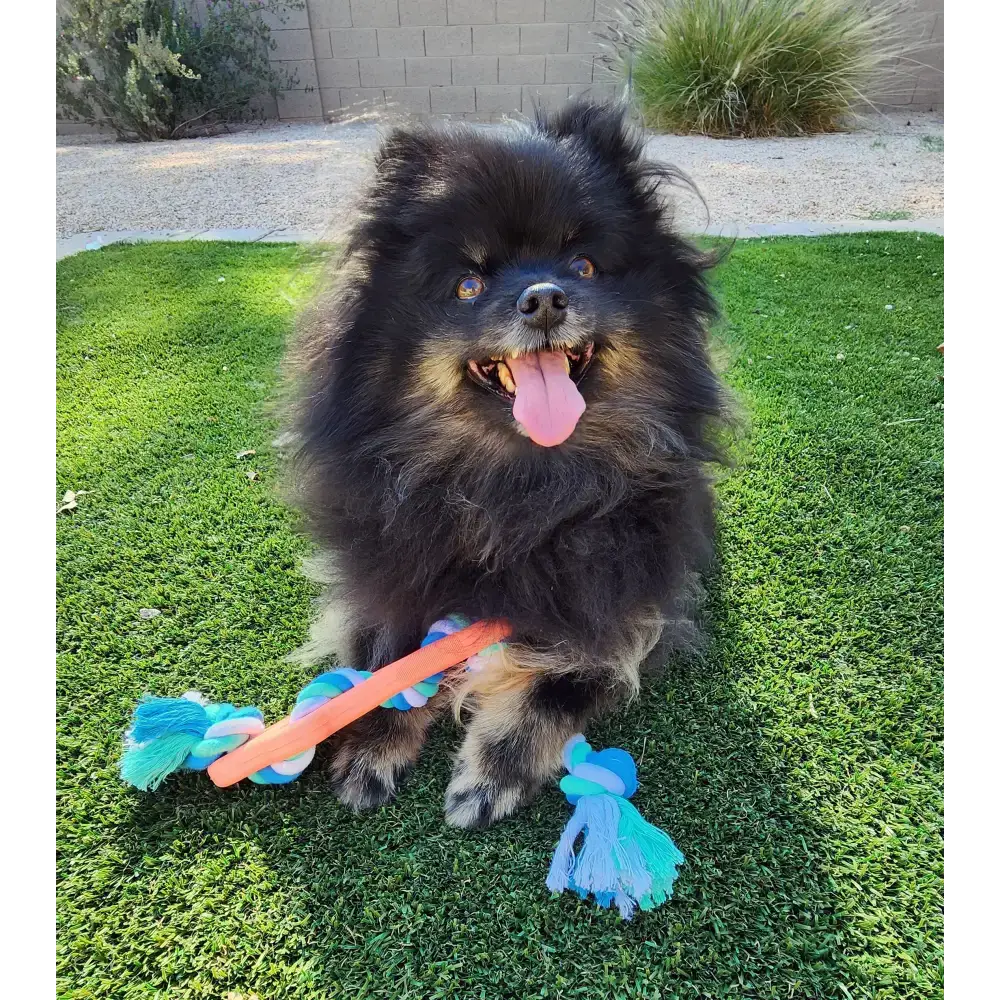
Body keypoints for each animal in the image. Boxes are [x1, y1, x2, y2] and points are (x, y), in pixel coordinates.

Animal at [292, 101, 724, 828]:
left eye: (583, 265)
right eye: (469, 284)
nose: (544, 298)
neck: (522, 488)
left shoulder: (629, 602)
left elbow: (562, 681)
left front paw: (492, 773)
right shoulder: (390, 565)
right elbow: (384, 658)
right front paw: (372, 745)